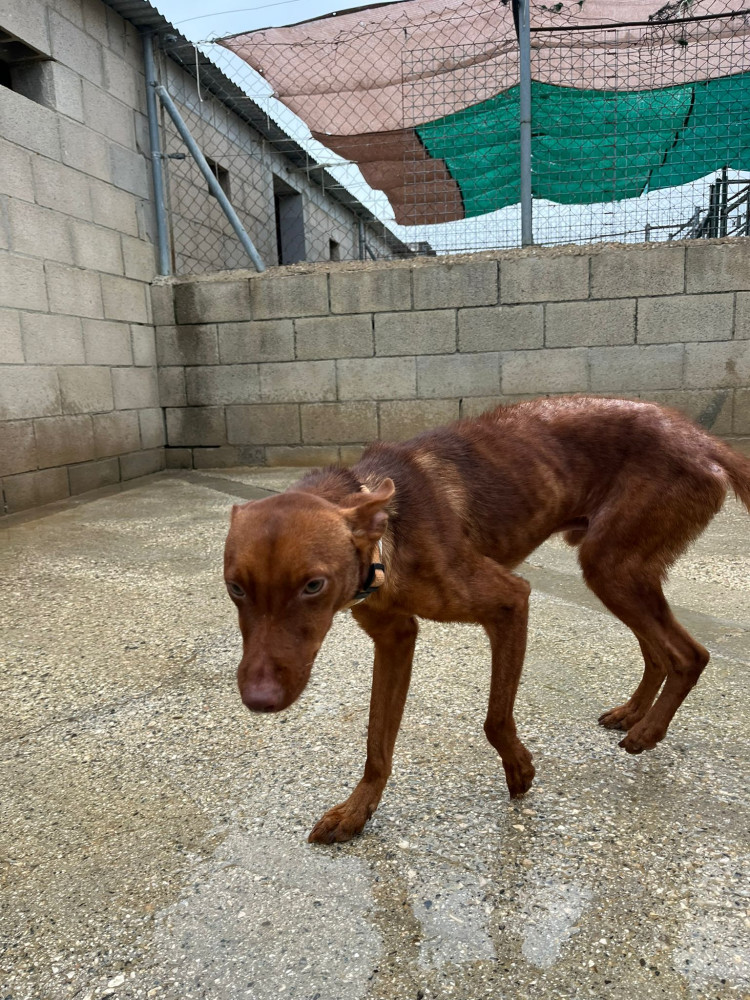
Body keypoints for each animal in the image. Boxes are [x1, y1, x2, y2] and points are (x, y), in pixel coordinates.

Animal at [223, 396, 750, 843]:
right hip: (617, 573)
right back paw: (633, 713)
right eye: (235, 588)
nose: (259, 700)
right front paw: (357, 810)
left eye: (313, 585)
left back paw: (648, 732)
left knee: (690, 654)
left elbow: (495, 718)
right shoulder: (395, 638)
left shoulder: (510, 601)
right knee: (658, 650)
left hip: (611, 567)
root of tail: (703, 439)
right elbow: (377, 742)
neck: (387, 534)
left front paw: (519, 769)